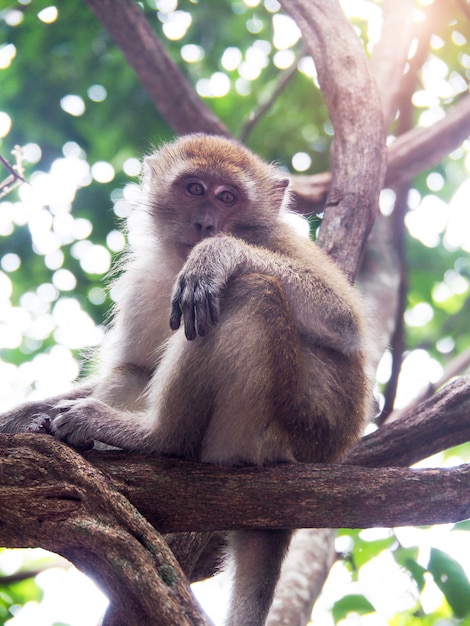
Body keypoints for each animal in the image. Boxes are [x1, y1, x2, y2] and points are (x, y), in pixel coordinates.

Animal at [1, 133, 372, 624]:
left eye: (228, 198)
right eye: (195, 189)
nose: (206, 224)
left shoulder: (278, 240)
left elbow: (343, 320)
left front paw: (217, 256)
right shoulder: (144, 278)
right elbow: (135, 364)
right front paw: (22, 417)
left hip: (275, 431)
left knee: (252, 291)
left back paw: (158, 436)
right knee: (135, 372)